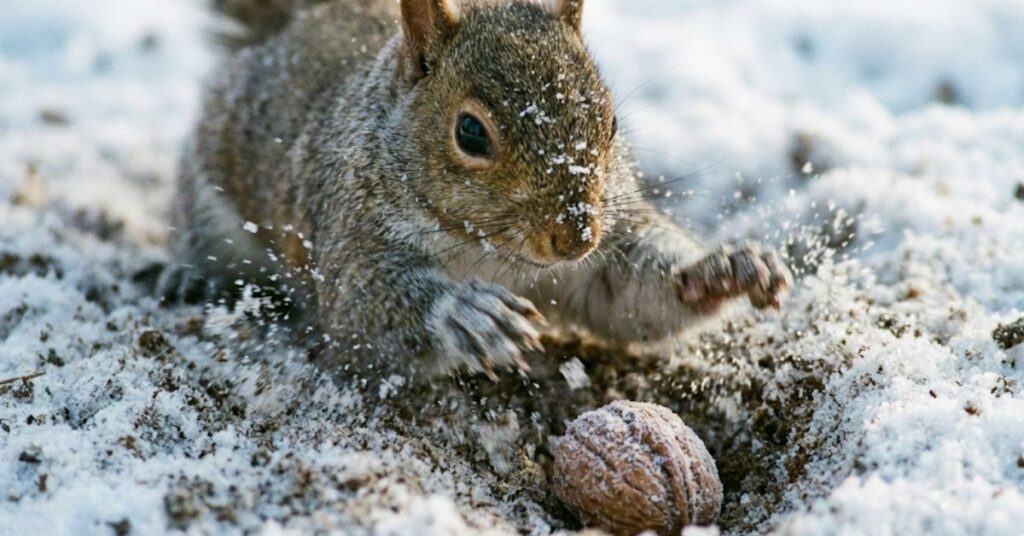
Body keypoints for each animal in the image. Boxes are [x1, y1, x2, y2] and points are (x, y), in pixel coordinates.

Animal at [161, 0, 792, 381]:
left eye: (612, 122)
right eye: (470, 132)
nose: (576, 238)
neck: (491, 253)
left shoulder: (605, 254)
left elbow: (630, 299)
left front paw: (722, 269)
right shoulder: (348, 229)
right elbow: (360, 310)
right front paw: (466, 314)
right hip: (210, 192)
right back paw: (191, 275)